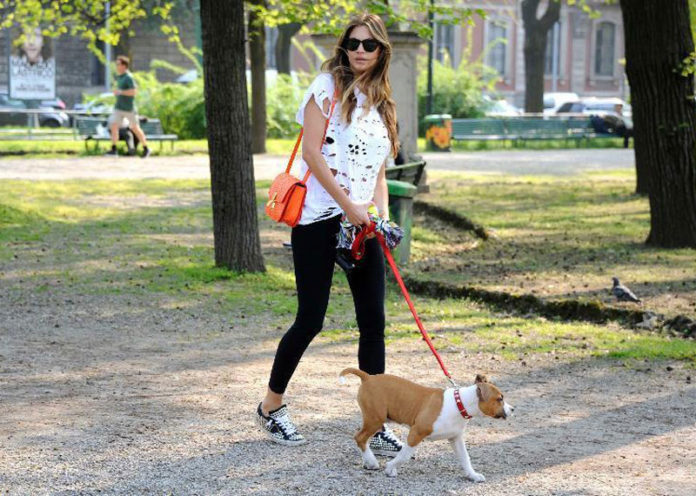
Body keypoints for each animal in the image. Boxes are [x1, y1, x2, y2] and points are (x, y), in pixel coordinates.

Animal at [340, 368, 512, 480]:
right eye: (499, 399)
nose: (512, 409)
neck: (459, 403)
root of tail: (368, 377)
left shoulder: (456, 439)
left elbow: (465, 458)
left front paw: (473, 475)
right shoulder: (416, 433)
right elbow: (404, 455)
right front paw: (390, 468)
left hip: (374, 419)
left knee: (362, 438)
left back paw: (368, 462)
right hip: (375, 419)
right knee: (360, 438)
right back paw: (372, 461)